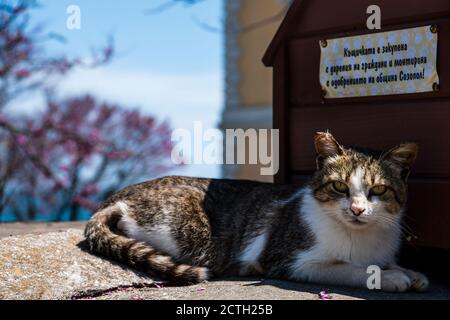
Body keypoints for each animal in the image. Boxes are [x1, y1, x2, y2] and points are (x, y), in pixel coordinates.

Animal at [83, 131, 428, 292]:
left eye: (378, 190)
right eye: (340, 187)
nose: (357, 208)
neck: (361, 237)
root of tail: (118, 195)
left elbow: (387, 263)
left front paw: (411, 273)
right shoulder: (289, 261)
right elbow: (350, 269)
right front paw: (390, 277)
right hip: (189, 232)